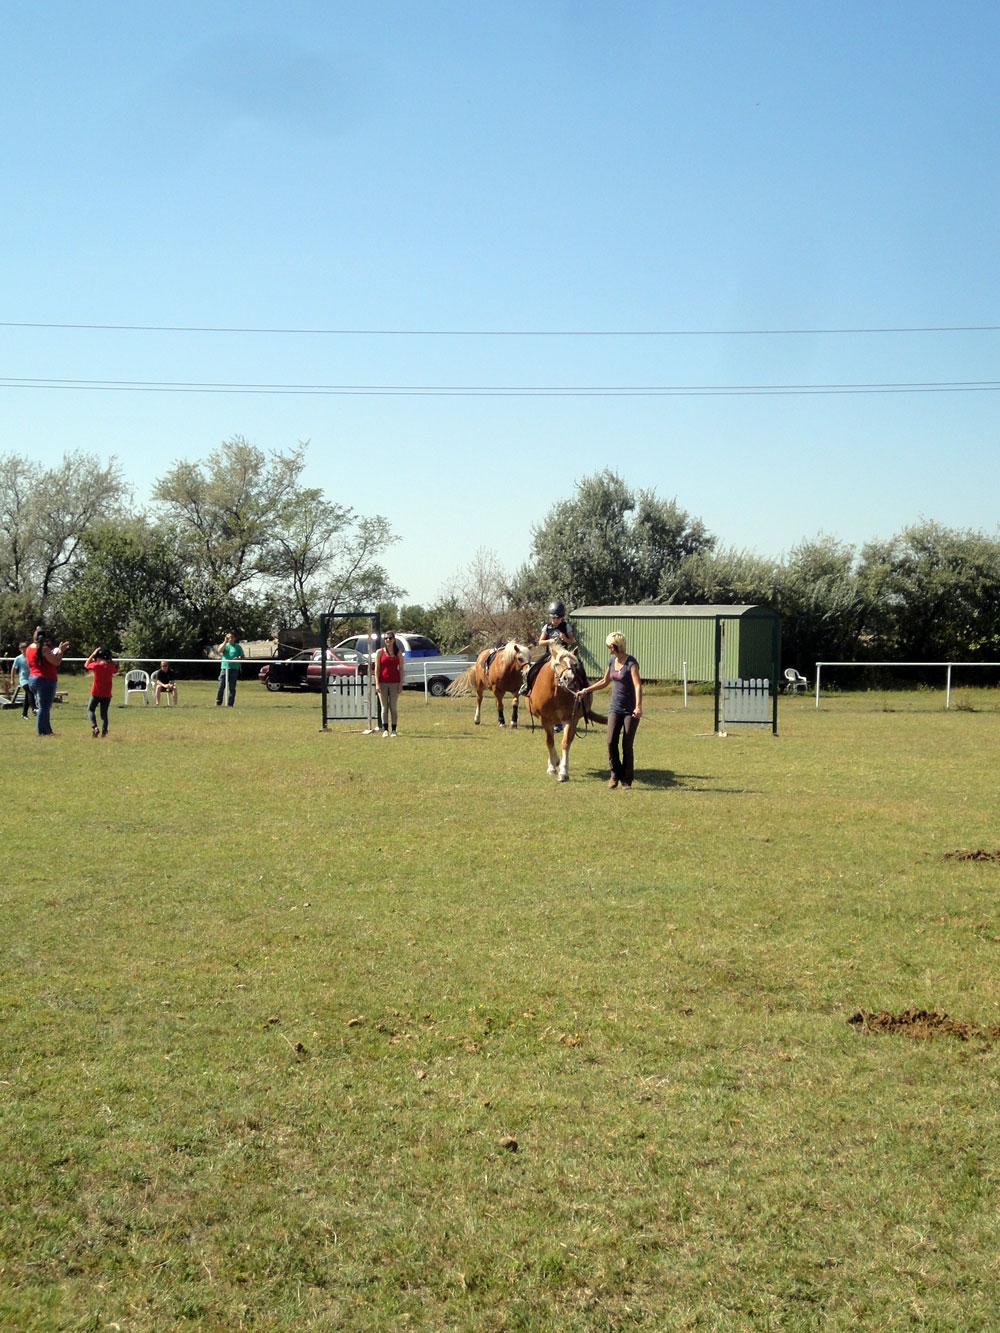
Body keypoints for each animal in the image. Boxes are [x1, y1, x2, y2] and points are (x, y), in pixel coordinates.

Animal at [528, 642, 608, 778]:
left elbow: (565, 742)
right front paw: (552, 766)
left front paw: (563, 771)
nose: (569, 679)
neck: (556, 692)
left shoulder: (570, 719)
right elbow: (549, 742)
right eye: (557, 664)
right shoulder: (545, 719)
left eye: (575, 664)